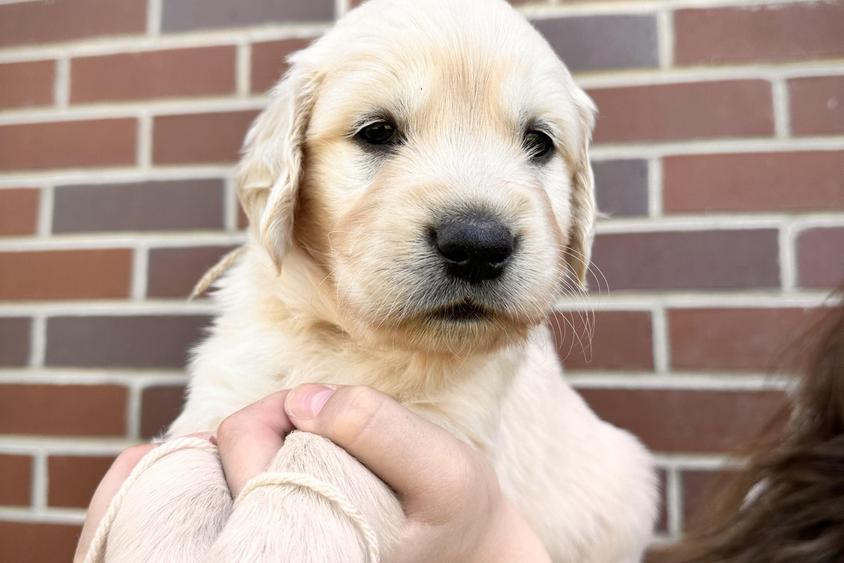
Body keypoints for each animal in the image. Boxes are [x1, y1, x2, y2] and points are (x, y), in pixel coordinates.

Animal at [130, 0, 660, 560]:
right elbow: (182, 458)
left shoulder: (443, 424)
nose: (478, 245)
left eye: (539, 141)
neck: (352, 338)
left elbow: (322, 450)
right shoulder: (228, 388)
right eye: (377, 132)